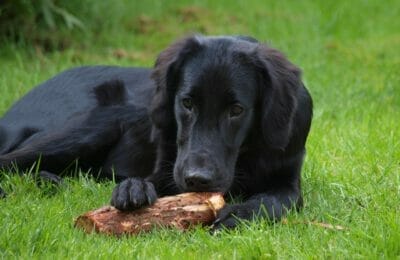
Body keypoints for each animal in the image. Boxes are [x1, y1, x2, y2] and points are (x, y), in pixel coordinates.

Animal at [0, 35, 312, 229]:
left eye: (236, 110)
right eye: (187, 103)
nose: (197, 179)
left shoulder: (288, 180)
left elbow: (273, 201)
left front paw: (239, 213)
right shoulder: (167, 167)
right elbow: (150, 180)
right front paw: (133, 188)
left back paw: (50, 181)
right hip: (91, 129)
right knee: (11, 161)